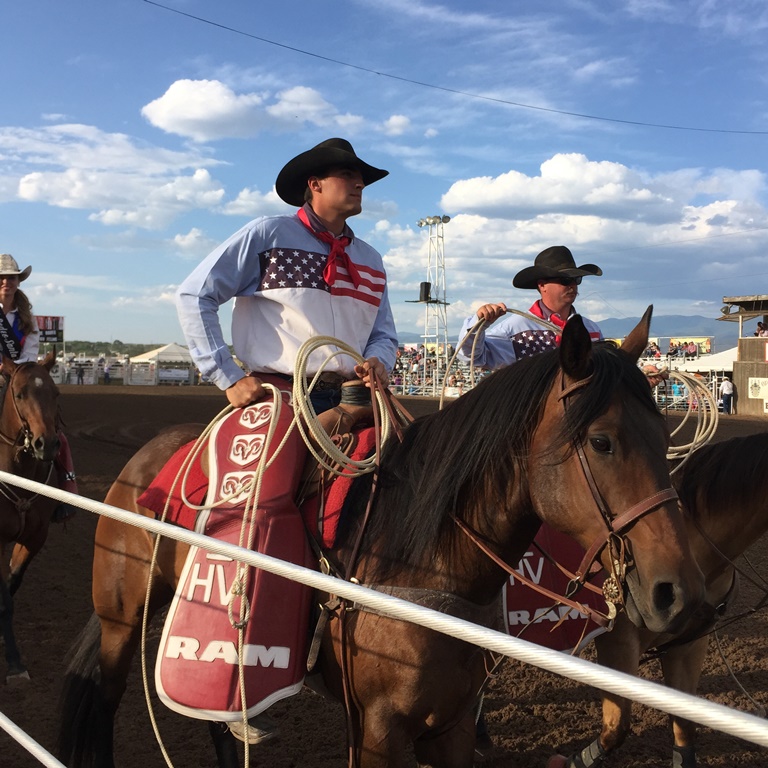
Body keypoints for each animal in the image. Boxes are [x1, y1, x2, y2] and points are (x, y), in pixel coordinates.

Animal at [57, 312, 704, 768]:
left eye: (663, 433)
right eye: (601, 441)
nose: (680, 593)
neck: (425, 559)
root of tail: (144, 457)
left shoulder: (452, 724)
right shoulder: (377, 730)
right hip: (121, 617)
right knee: (109, 698)